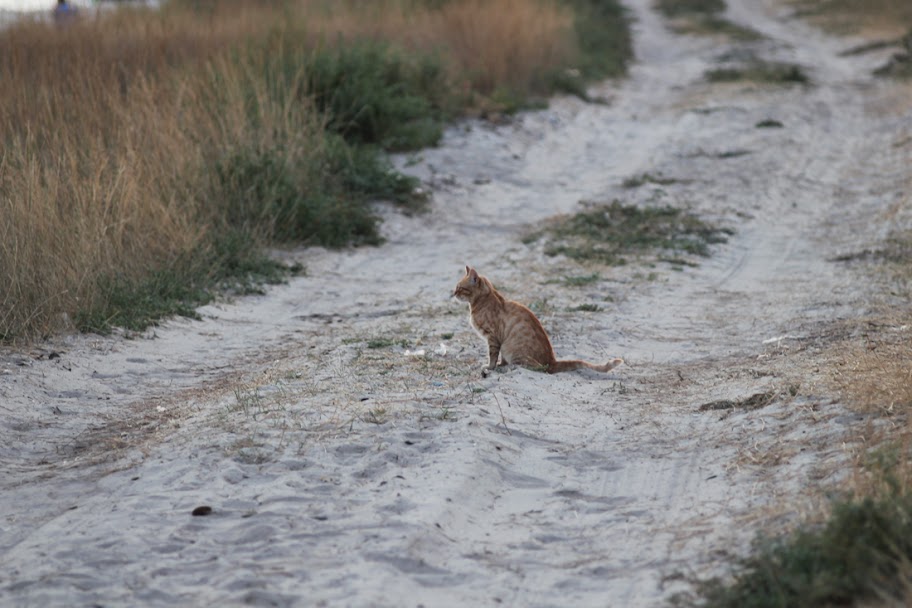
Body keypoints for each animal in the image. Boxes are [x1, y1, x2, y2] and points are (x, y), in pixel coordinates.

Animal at [452, 266, 624, 376]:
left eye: (460, 288)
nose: (453, 293)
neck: (482, 300)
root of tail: (553, 361)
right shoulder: (498, 340)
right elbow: (500, 358)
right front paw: (500, 365)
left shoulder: (493, 337)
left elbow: (493, 356)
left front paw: (491, 367)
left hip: (513, 349)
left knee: (532, 367)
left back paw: (510, 369)